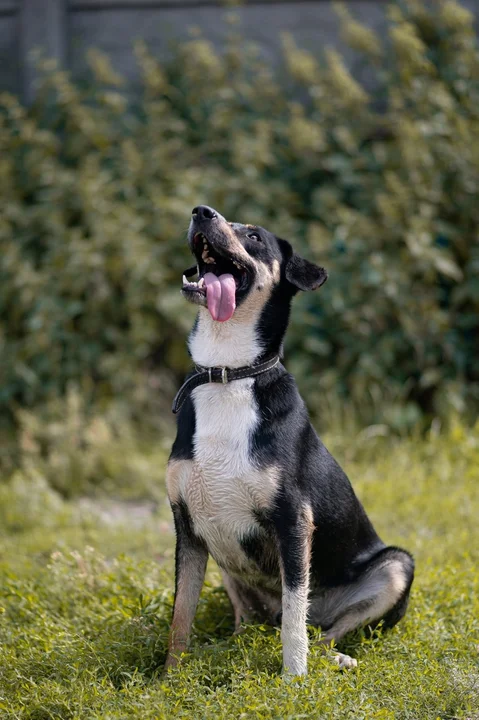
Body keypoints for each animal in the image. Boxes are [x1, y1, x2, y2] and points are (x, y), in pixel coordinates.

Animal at [164, 204, 412, 676]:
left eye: (254, 236)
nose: (201, 212)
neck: (228, 375)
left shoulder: (293, 520)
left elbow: (295, 617)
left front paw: (293, 678)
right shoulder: (186, 526)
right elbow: (180, 616)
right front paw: (168, 677)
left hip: (395, 566)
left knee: (319, 630)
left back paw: (334, 656)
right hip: (229, 570)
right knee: (249, 619)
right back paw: (232, 645)